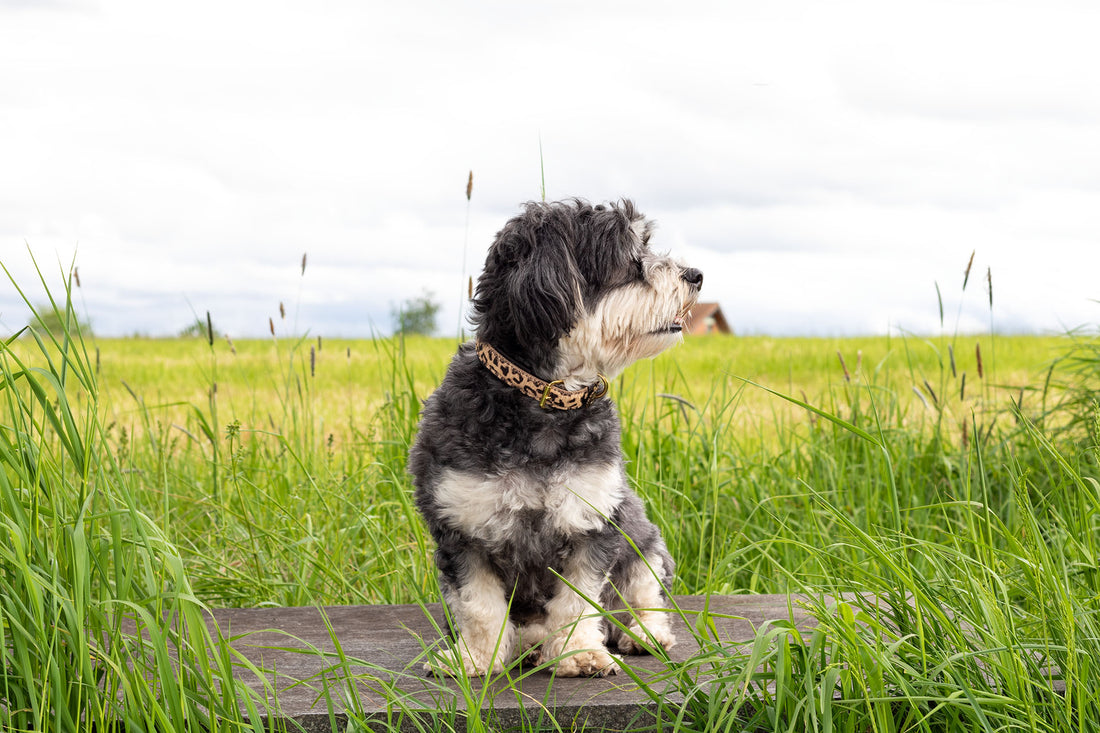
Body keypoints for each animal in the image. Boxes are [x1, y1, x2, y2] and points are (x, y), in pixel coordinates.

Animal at [407, 197, 704, 677]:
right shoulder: (461, 529)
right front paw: (476, 659)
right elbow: (478, 605)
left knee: (644, 596)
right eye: (630, 258)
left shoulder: (593, 520)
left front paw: (579, 654)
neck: (545, 400)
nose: (695, 275)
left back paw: (644, 634)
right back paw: (528, 644)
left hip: (643, 540)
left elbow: (579, 601)